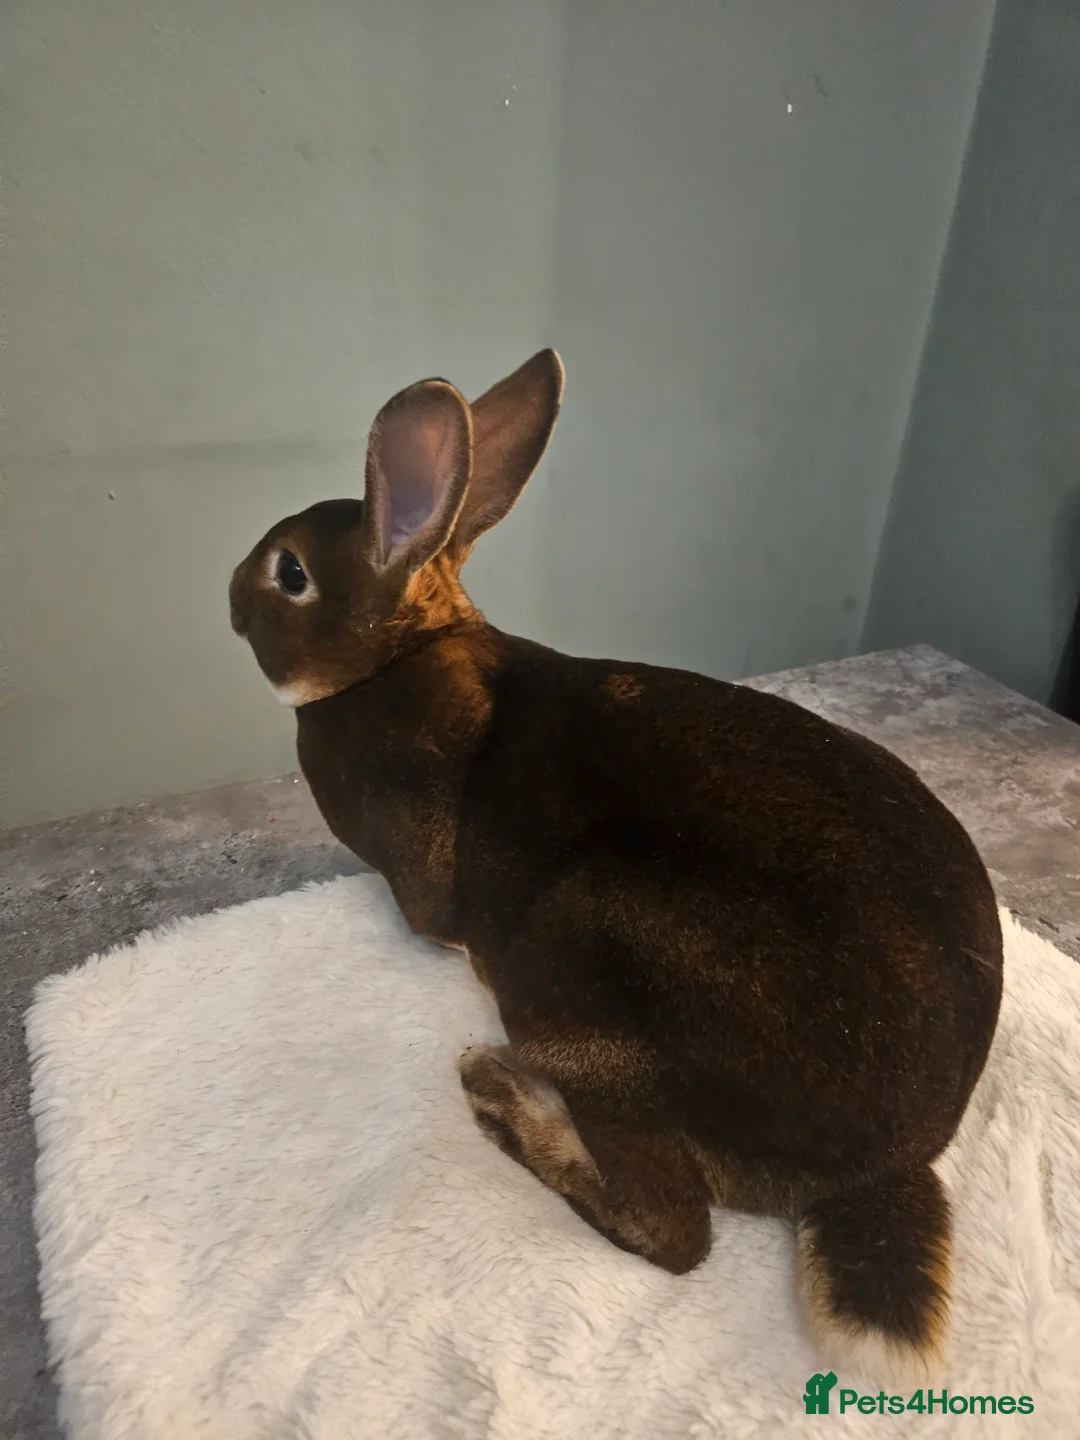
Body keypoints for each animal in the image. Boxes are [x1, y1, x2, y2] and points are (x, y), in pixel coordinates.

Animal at [229, 349, 1003, 1384]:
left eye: (291, 574)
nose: (230, 593)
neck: (398, 656)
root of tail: (884, 1165)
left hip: (576, 961)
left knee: (673, 1232)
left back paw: (502, 1101)